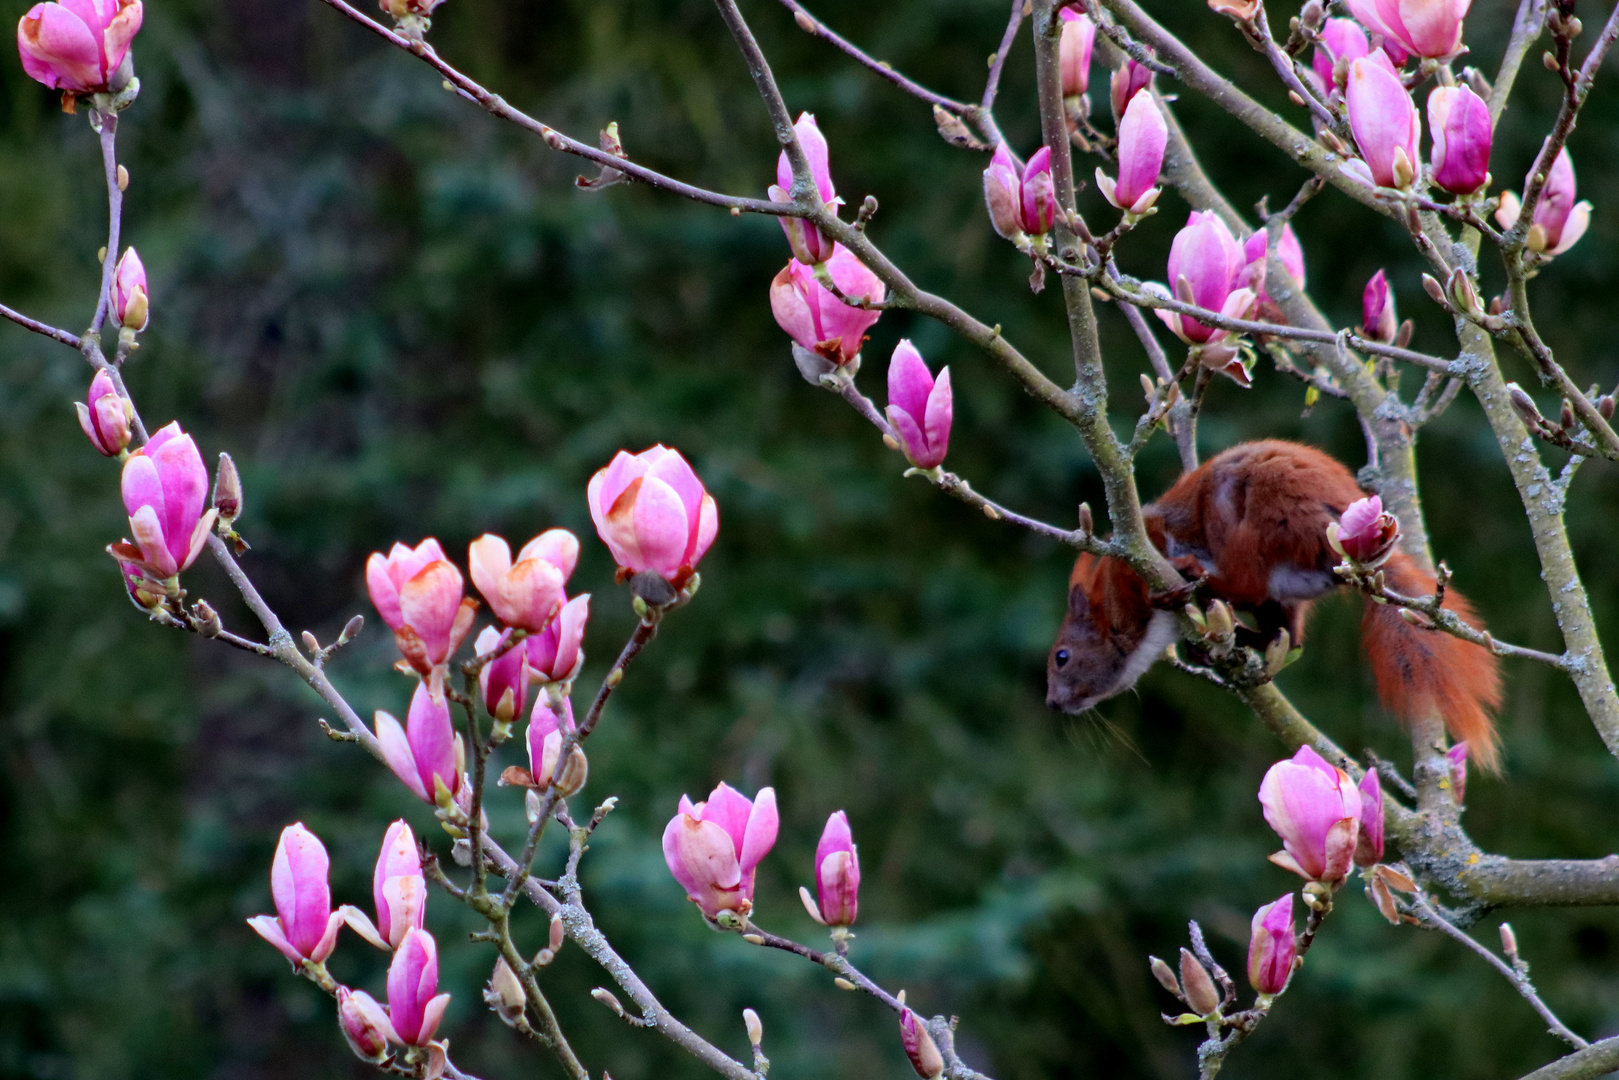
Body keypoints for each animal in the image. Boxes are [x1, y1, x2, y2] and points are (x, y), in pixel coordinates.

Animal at [1049, 437, 1502, 767]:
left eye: (1061, 657)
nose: (1053, 704)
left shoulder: (1145, 536)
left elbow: (1153, 542)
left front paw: (1163, 587)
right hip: (1286, 591)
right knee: (1284, 634)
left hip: (1254, 513)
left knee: (1247, 584)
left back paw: (1197, 581)